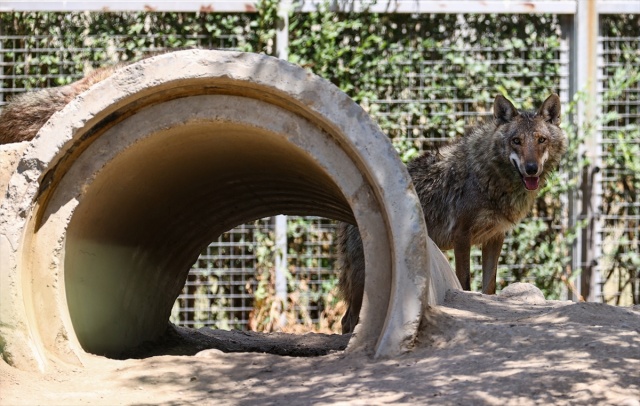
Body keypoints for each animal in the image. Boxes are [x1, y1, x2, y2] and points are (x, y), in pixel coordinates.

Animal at [338, 94, 568, 334]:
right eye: (516, 141)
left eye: (541, 140)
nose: (531, 169)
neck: (490, 177)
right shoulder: (462, 236)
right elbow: (464, 283)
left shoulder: (495, 238)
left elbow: (489, 288)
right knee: (349, 319)